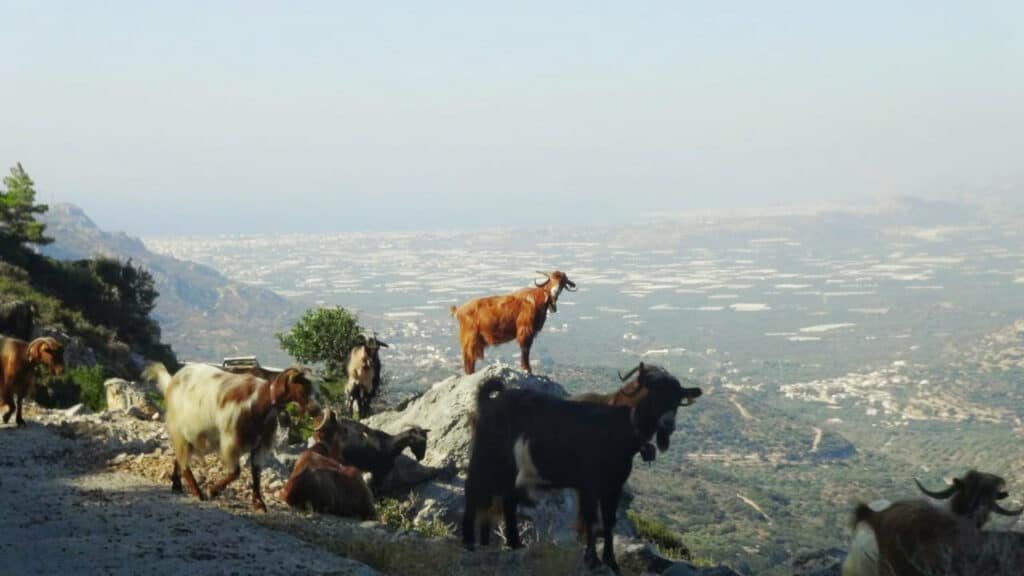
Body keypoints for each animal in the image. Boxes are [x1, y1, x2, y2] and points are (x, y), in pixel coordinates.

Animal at [143, 360, 319, 508]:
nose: (316, 410)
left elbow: (256, 472)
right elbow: (235, 472)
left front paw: (259, 503)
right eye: (303, 386)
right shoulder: (231, 440)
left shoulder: (259, 444)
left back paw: (177, 486)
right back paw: (197, 492)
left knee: (179, 457)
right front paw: (212, 491)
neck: (260, 401)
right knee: (184, 461)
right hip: (180, 429)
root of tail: (172, 380)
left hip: (191, 436)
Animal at [462, 366, 688, 569]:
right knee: (473, 492)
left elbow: (608, 521)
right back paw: (468, 543)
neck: (619, 425)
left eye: (677, 400)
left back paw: (515, 544)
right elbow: (590, 520)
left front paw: (610, 561)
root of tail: (489, 402)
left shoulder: (613, 486)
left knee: (507, 501)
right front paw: (592, 559)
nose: (668, 424)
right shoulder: (589, 485)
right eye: (654, 393)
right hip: (485, 458)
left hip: (509, 471)